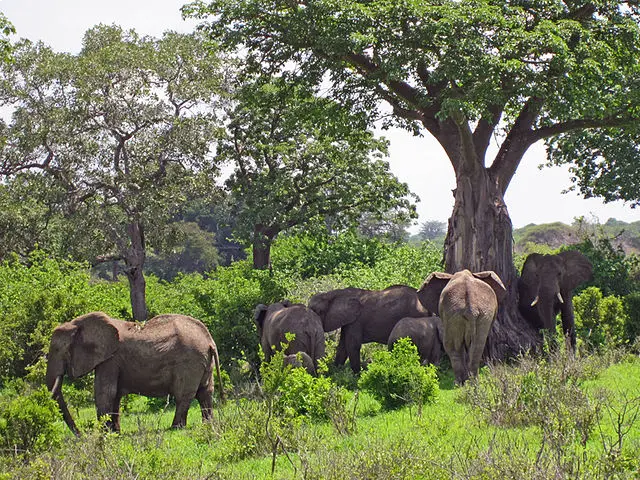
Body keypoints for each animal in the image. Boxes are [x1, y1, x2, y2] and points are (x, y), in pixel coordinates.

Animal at [46, 311, 224, 435]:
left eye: (57, 350)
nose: (80, 435)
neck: (76, 324)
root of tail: (210, 341)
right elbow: (115, 394)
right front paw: (115, 433)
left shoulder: (110, 360)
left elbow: (105, 392)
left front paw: (104, 434)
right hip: (203, 362)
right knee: (205, 392)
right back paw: (208, 425)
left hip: (189, 362)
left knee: (184, 396)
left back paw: (175, 428)